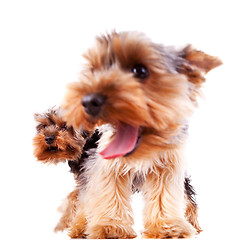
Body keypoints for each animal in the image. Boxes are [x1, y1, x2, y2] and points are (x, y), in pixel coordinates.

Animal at [62, 31, 222, 238]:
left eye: (140, 71)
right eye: (94, 71)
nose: (88, 101)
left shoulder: (167, 164)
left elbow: (165, 194)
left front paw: (167, 226)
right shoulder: (104, 167)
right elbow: (108, 193)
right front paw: (110, 227)